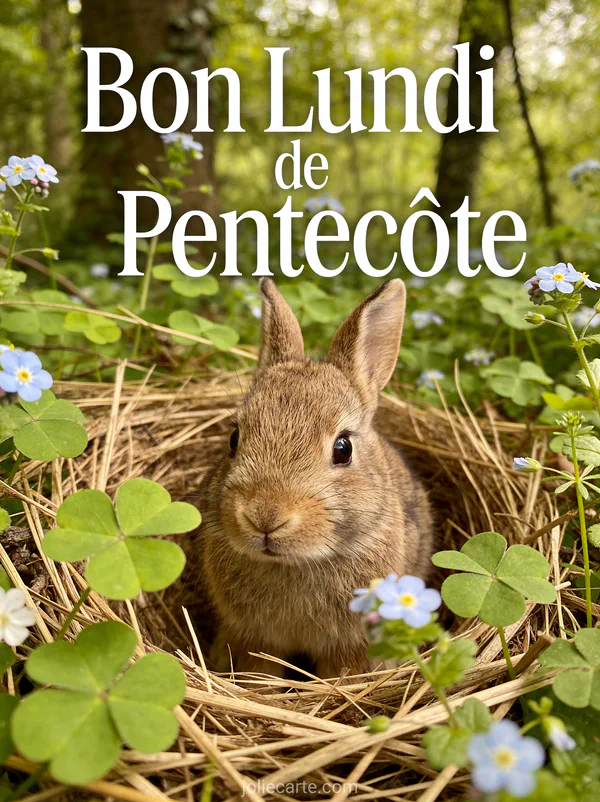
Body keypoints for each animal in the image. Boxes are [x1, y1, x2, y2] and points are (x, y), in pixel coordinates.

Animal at [201, 278, 434, 678]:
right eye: (234, 438)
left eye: (343, 448)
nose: (265, 517)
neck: (294, 563)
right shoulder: (253, 639)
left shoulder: (351, 645)